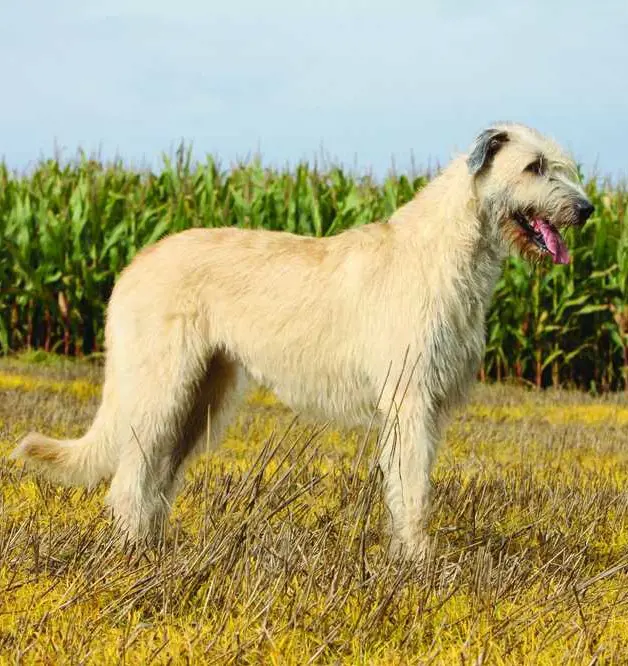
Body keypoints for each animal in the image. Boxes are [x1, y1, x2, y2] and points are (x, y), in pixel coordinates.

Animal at [13, 123, 592, 556]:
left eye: (562, 163)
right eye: (534, 166)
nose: (588, 210)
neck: (446, 249)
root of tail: (135, 263)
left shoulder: (429, 400)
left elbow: (415, 479)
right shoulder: (410, 398)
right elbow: (411, 483)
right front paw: (417, 561)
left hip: (203, 393)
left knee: (157, 470)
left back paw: (155, 548)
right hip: (161, 382)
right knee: (131, 472)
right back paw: (131, 550)